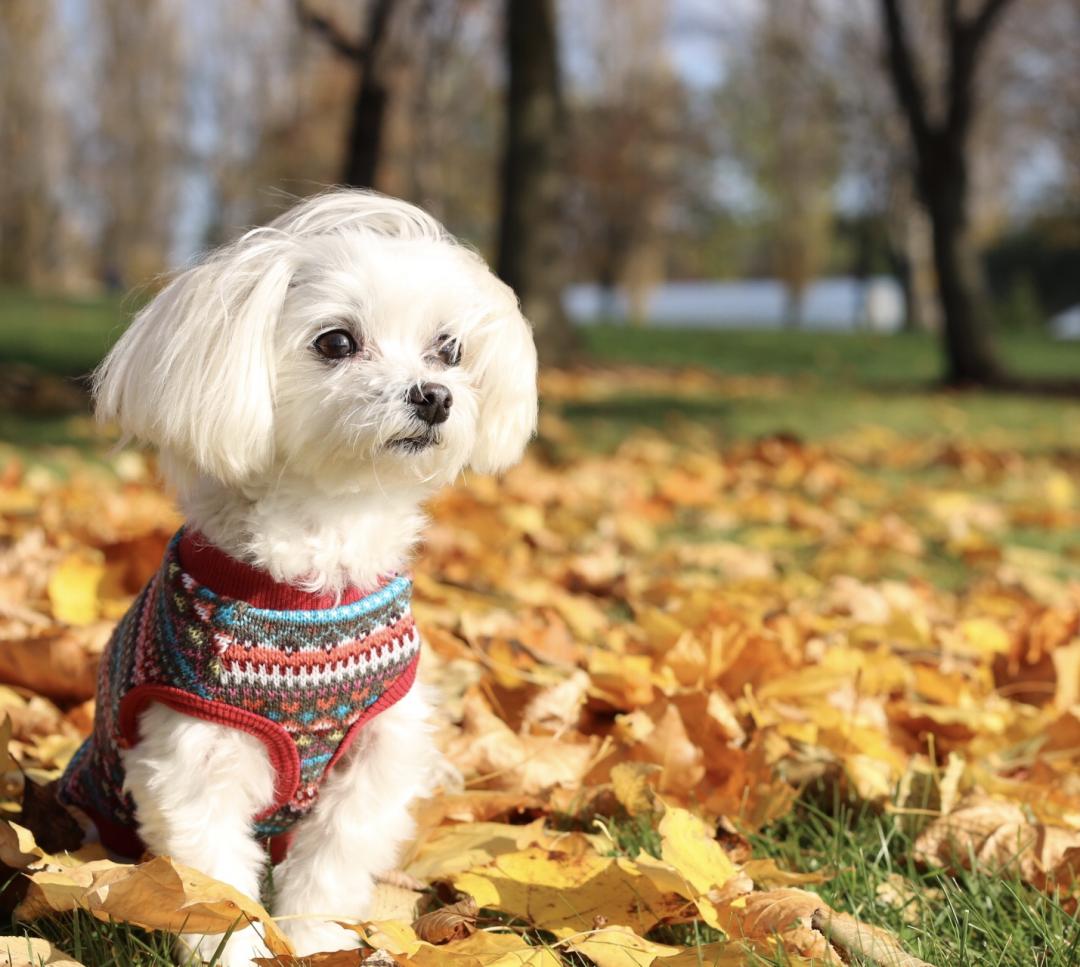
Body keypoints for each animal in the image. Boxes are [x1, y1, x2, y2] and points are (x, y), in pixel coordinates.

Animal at [56, 189, 537, 959]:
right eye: (335, 342)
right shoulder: (196, 760)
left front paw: (321, 945)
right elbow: (216, 891)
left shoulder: (373, 760)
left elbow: (331, 866)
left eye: (449, 348)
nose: (434, 394)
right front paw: (240, 956)